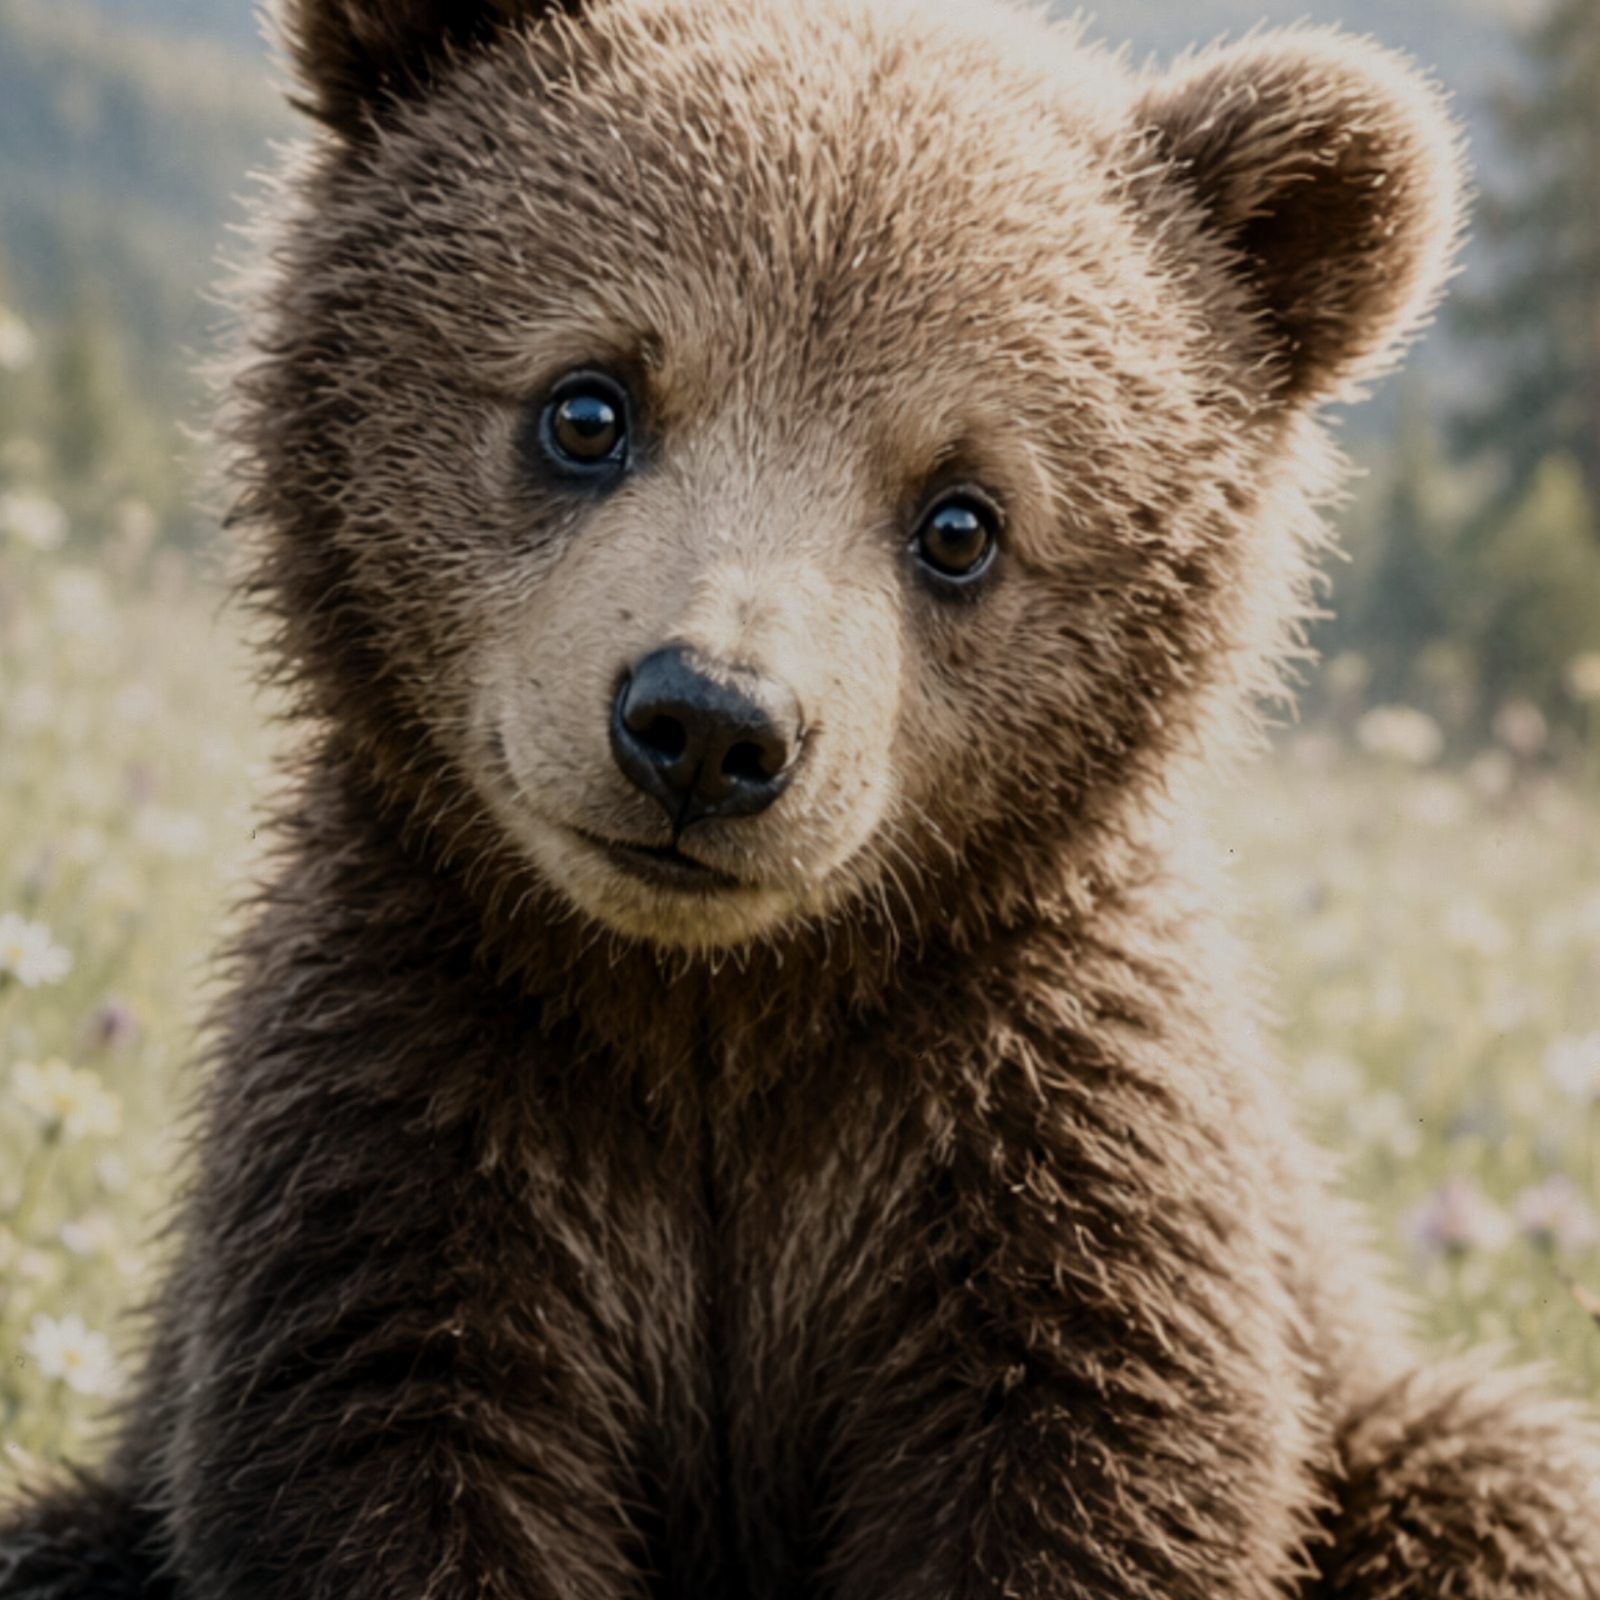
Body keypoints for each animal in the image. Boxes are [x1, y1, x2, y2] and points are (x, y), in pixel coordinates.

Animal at [4, 0, 1600, 1596]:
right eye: (589, 404)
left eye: (962, 518)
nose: (708, 726)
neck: (718, 1011)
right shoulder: (418, 1089)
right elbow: (396, 1435)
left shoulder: (1029, 1138)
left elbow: (1084, 1463)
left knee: (1503, 1484)